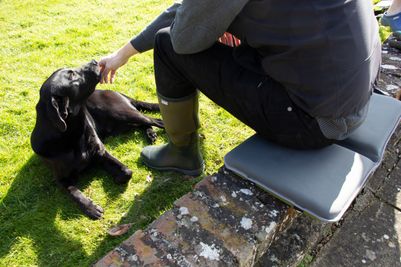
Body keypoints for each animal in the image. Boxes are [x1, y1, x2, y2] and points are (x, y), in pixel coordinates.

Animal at [30, 60, 162, 220]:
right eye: (71, 75)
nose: (94, 61)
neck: (73, 134)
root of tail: (116, 92)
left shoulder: (100, 152)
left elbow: (127, 171)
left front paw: (117, 177)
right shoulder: (60, 179)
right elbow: (74, 193)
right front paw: (90, 208)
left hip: (121, 113)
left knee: (155, 120)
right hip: (120, 123)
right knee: (146, 122)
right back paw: (150, 133)